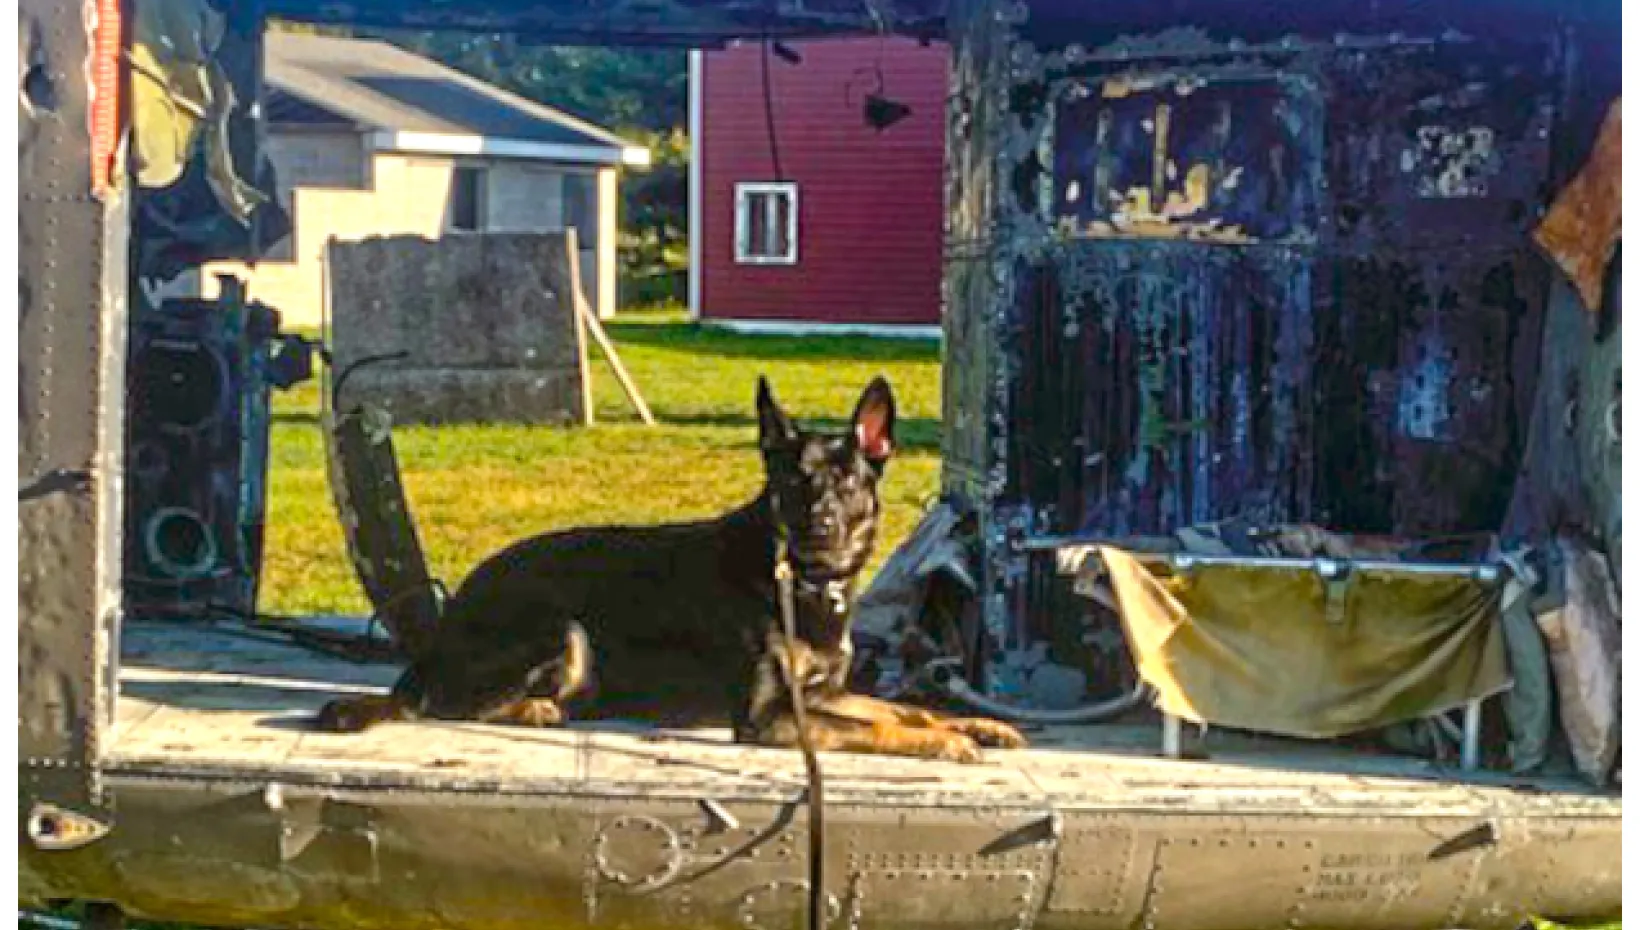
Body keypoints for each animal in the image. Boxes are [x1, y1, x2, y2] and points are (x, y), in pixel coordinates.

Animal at [318, 378, 1023, 764]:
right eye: (793, 482)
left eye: (848, 481)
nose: (819, 528)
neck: (804, 586)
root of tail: (440, 634)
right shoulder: (770, 717)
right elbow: (878, 727)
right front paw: (947, 745)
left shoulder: (820, 693)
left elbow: (903, 709)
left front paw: (976, 725)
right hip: (563, 630)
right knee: (441, 705)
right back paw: (535, 710)